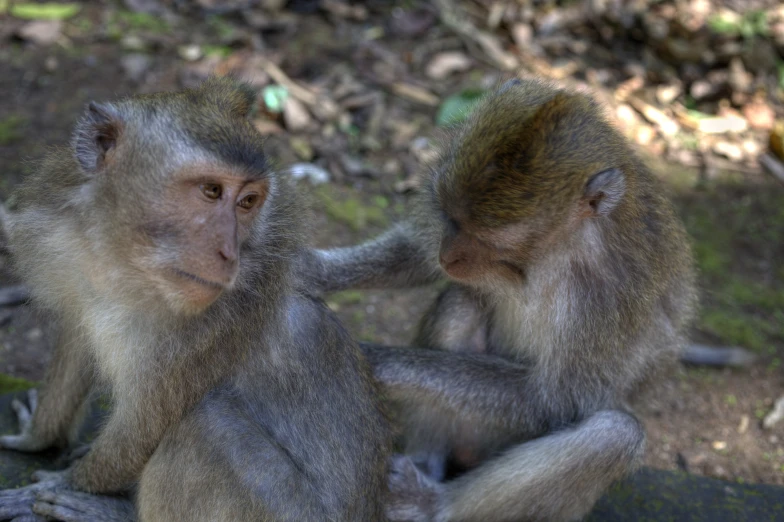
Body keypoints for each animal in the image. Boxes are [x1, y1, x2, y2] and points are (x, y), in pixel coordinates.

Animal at [0, 77, 390, 520]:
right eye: (210, 190)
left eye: (248, 202)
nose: (229, 253)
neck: (125, 261)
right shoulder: (59, 239)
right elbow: (76, 339)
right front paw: (36, 437)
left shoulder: (210, 330)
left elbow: (140, 431)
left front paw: (53, 490)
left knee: (204, 425)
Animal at [302, 78, 700, 520]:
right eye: (450, 218)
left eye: (491, 241)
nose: (448, 255)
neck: (558, 252)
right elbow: (417, 257)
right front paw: (314, 271)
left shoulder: (610, 296)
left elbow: (553, 401)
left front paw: (377, 360)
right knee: (460, 304)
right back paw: (427, 465)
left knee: (615, 435)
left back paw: (434, 505)